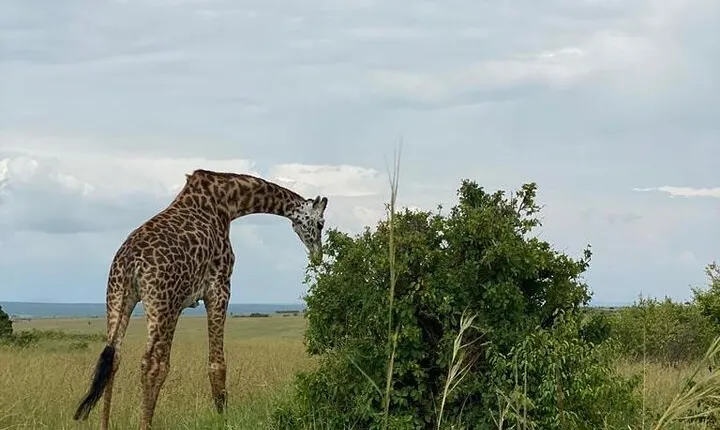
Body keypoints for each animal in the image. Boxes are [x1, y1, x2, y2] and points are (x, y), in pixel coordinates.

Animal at [72, 169, 328, 430]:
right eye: (320, 223)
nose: (318, 255)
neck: (230, 202)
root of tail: (130, 263)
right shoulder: (219, 286)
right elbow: (217, 364)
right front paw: (224, 420)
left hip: (117, 297)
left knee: (114, 358)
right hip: (164, 304)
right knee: (154, 365)